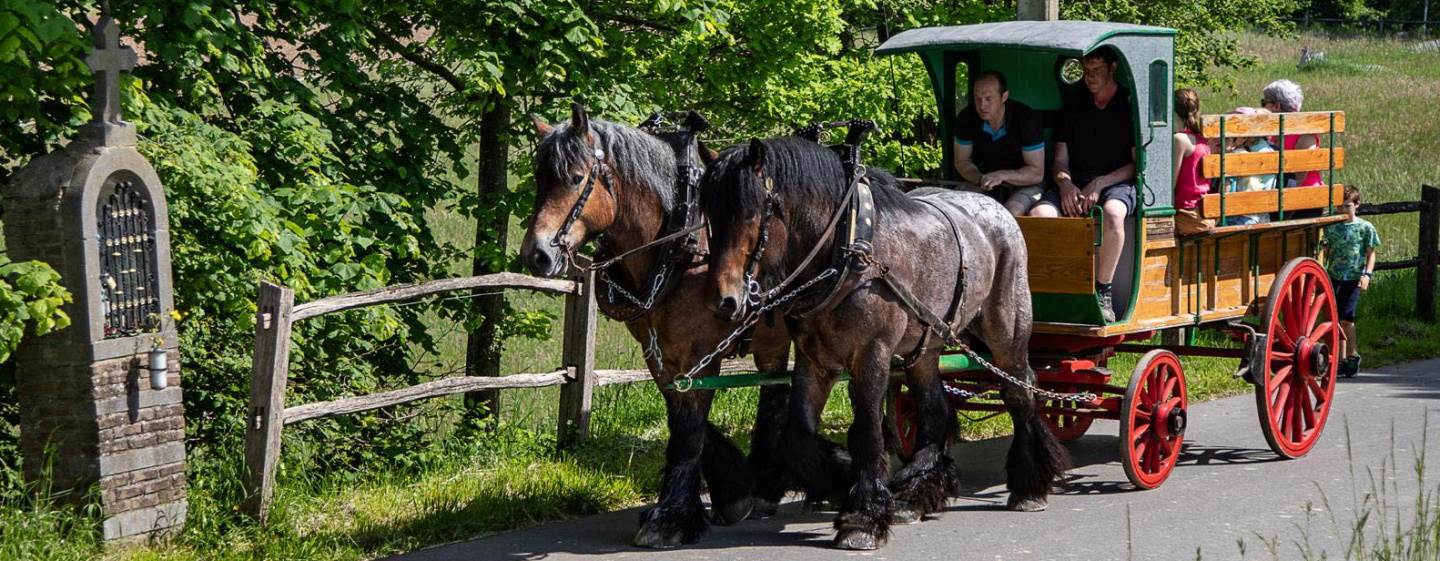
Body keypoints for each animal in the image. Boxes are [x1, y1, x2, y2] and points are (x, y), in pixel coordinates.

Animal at [518, 104, 846, 546]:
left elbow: (691, 428)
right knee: (774, 392)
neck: (680, 246)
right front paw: (727, 493)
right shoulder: (658, 352)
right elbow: (683, 421)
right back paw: (768, 485)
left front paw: (671, 517)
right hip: (772, 337)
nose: (535, 255)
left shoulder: (700, 350)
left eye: (574, 177)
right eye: (540, 178)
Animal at [696, 134, 1071, 546]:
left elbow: (867, 433)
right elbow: (797, 434)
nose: (724, 301)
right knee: (936, 409)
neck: (847, 251)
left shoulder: (871, 354)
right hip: (926, 345)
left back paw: (1029, 488)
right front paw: (843, 480)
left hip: (1006, 330)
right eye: (710, 215)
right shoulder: (814, 360)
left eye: (751, 214)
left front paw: (862, 518)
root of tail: (995, 206)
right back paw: (915, 494)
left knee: (1019, 392)